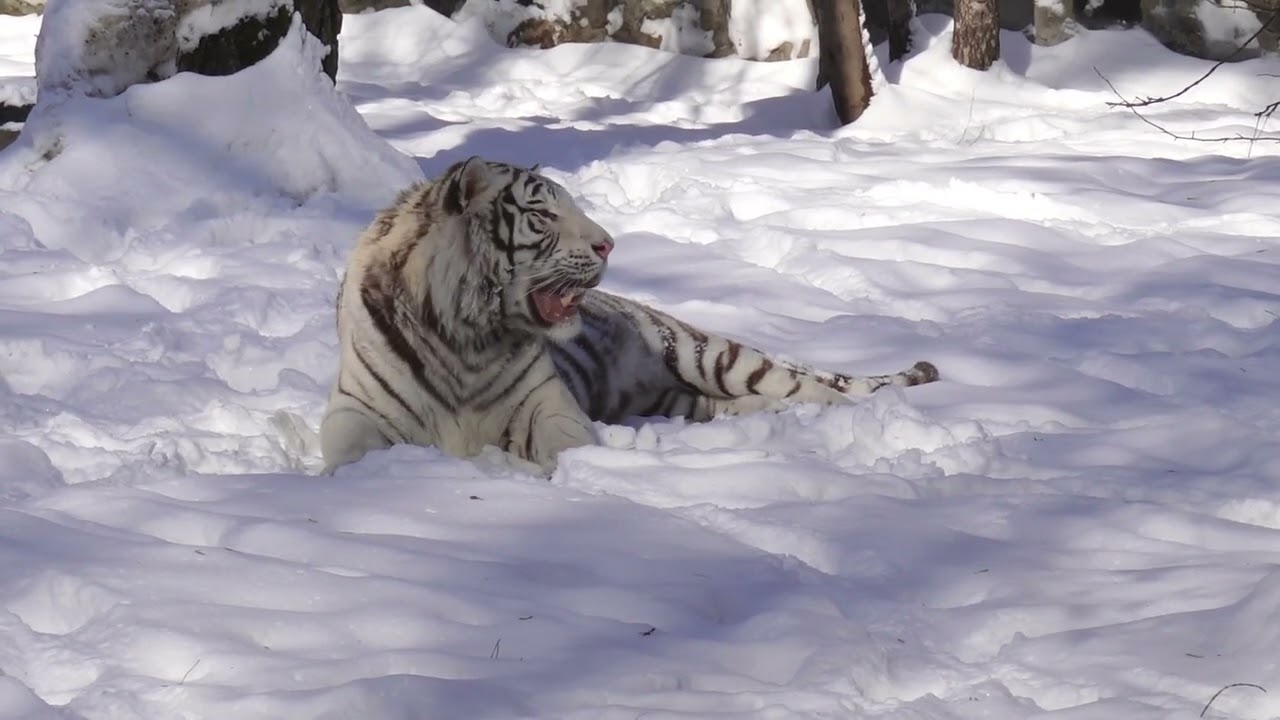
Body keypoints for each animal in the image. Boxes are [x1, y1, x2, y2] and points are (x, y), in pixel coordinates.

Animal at [319, 157, 939, 475]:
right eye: (543, 215)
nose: (609, 245)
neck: (468, 336)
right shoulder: (358, 410)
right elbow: (346, 457)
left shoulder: (549, 405)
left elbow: (562, 446)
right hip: (680, 399)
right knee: (735, 404)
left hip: (708, 354)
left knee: (814, 389)